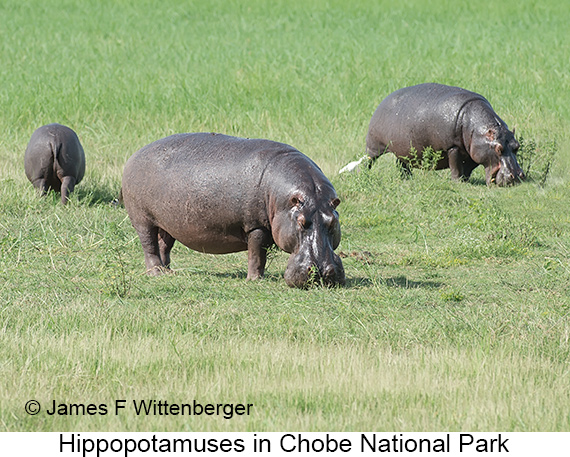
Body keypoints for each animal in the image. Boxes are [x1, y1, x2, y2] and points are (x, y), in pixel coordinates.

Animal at [122, 133, 344, 288]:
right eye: (301, 222)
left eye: (333, 222)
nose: (322, 272)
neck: (282, 198)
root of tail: (134, 155)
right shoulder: (255, 226)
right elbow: (257, 254)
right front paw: (255, 280)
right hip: (143, 220)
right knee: (149, 245)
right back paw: (156, 273)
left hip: (167, 223)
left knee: (163, 245)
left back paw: (169, 272)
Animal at [362, 83, 520, 185]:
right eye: (498, 148)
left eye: (517, 146)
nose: (518, 176)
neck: (476, 128)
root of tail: (383, 101)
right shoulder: (452, 147)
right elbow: (456, 166)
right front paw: (458, 182)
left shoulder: (473, 151)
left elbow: (468, 168)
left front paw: (466, 181)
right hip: (374, 146)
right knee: (368, 161)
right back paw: (363, 176)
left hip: (403, 149)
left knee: (402, 164)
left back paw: (407, 179)